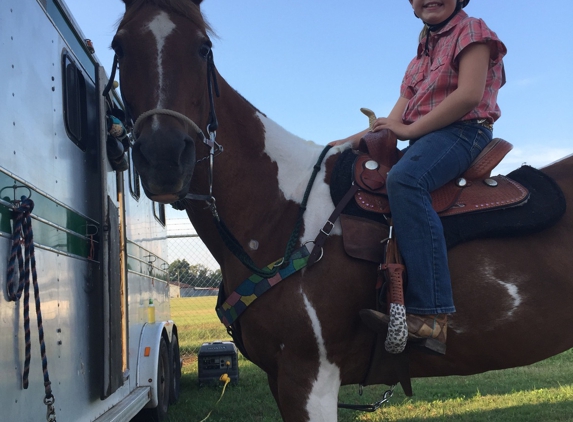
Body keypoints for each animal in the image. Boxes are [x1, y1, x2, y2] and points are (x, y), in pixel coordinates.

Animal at [111, 1, 572, 420]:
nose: (164, 157)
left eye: (203, 48)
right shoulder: (281, 380)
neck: (281, 214)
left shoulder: (310, 378)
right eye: (119, 46)